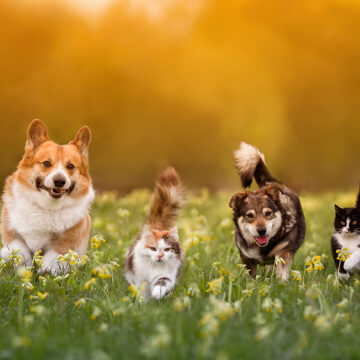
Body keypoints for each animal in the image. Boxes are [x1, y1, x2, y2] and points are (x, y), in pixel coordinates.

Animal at [0, 119, 95, 274]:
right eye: (46, 163)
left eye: (70, 166)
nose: (59, 181)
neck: (46, 207)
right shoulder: (12, 234)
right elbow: (21, 253)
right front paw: (23, 272)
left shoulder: (65, 243)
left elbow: (51, 261)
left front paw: (43, 275)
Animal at [125, 167, 184, 300]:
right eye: (153, 249)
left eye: (167, 249)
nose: (160, 256)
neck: (154, 267)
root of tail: (157, 225)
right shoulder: (140, 278)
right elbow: (141, 292)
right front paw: (142, 302)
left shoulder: (166, 276)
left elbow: (162, 283)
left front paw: (157, 295)